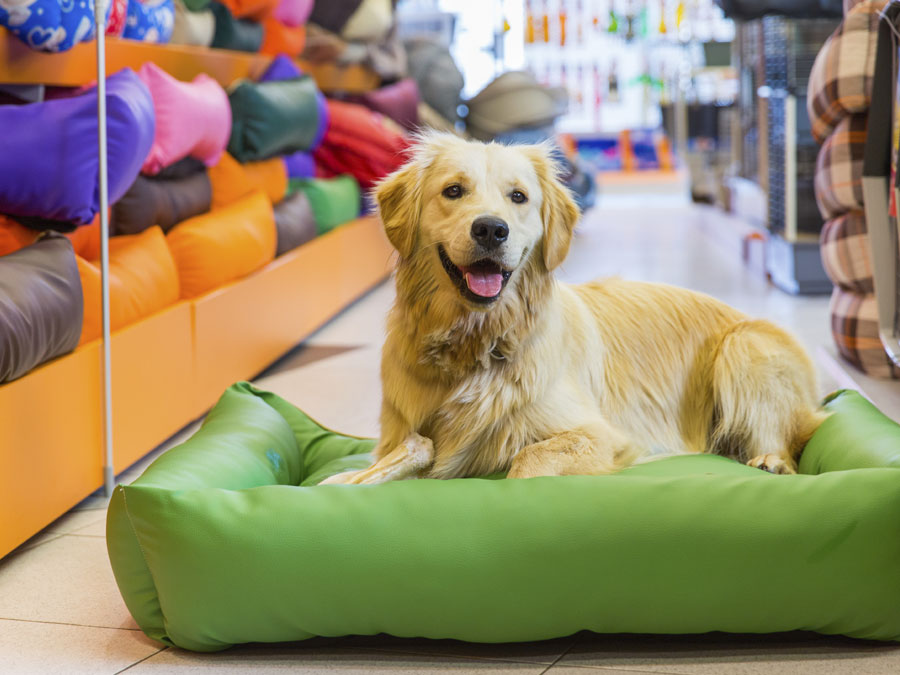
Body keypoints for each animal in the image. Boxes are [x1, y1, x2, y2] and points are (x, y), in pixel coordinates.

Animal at [322, 132, 824, 486]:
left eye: (518, 196)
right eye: (453, 191)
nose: (491, 229)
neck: (479, 341)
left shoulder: (602, 434)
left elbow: (527, 460)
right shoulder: (394, 438)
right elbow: (377, 465)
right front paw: (347, 477)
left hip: (744, 347)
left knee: (784, 439)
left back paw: (771, 461)